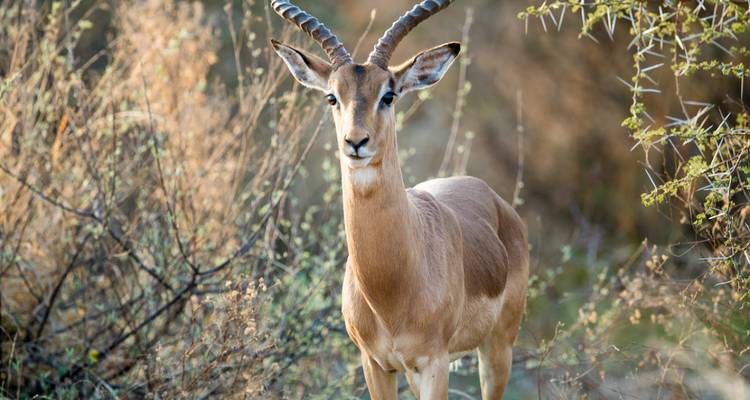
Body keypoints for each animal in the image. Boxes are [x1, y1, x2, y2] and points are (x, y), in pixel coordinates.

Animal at [270, 1, 528, 398]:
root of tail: (495, 199)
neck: (391, 291)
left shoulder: (435, 363)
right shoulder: (376, 364)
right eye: (332, 96)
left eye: (388, 95)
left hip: (498, 347)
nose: (355, 142)